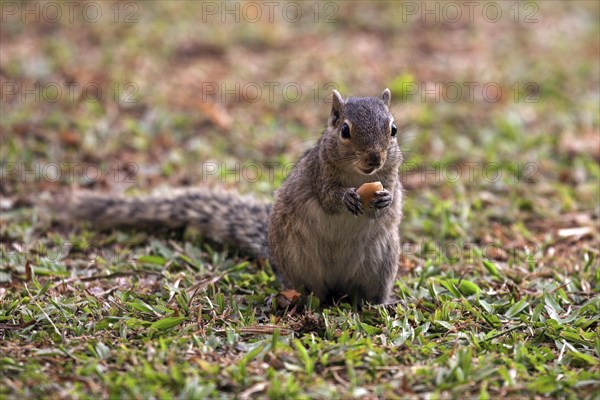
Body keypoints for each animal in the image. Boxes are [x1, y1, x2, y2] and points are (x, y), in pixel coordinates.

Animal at [57, 89, 404, 304]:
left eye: (393, 129)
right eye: (344, 130)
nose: (374, 158)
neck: (360, 177)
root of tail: (336, 287)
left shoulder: (390, 178)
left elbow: (392, 200)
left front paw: (384, 201)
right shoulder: (319, 174)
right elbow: (328, 198)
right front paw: (347, 198)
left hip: (381, 262)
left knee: (368, 294)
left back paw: (380, 304)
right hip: (297, 260)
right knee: (310, 291)